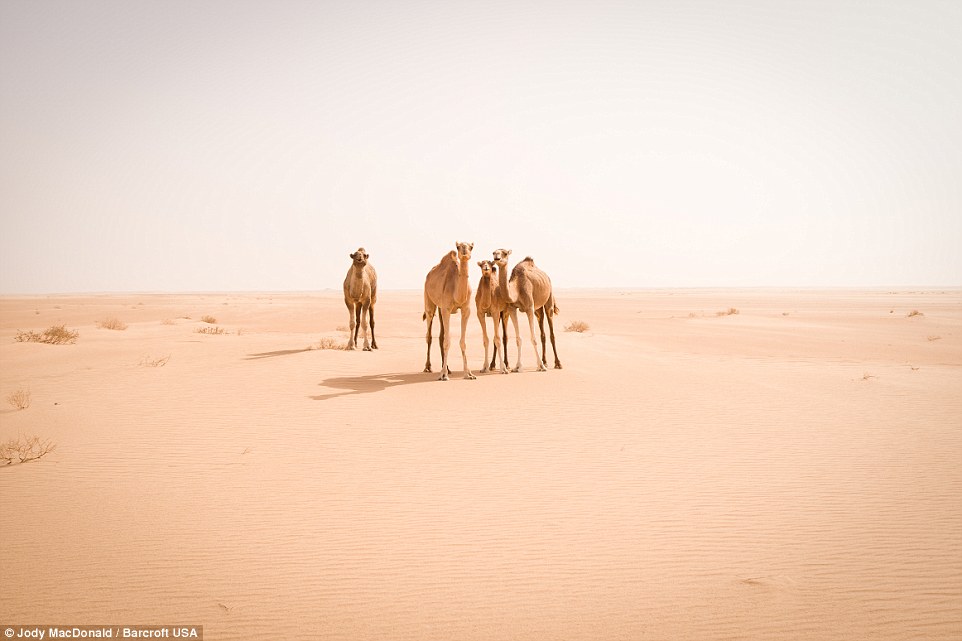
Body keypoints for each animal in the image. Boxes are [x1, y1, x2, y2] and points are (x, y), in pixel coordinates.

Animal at [424, 240, 476, 380]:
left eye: (471, 247)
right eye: (458, 246)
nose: (465, 252)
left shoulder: (466, 310)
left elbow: (462, 342)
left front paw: (468, 373)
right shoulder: (446, 309)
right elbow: (447, 341)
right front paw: (443, 375)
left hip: (440, 308)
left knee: (441, 336)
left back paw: (448, 368)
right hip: (429, 302)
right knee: (429, 334)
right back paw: (428, 367)